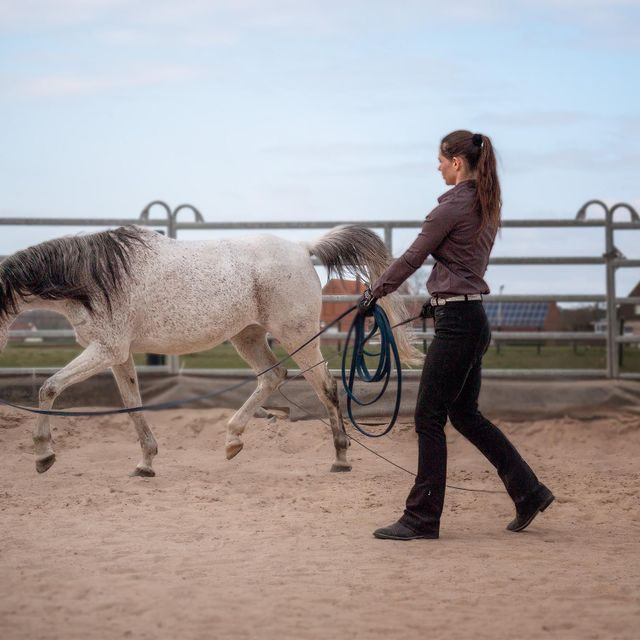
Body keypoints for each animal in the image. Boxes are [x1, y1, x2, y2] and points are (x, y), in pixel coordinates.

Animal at [1, 225, 420, 476]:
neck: (96, 277)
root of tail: (303, 248)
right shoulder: (118, 355)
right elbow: (132, 404)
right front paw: (145, 463)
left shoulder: (105, 350)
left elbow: (49, 388)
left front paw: (43, 456)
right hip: (248, 336)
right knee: (274, 376)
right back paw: (233, 440)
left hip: (297, 336)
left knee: (327, 388)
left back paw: (340, 458)